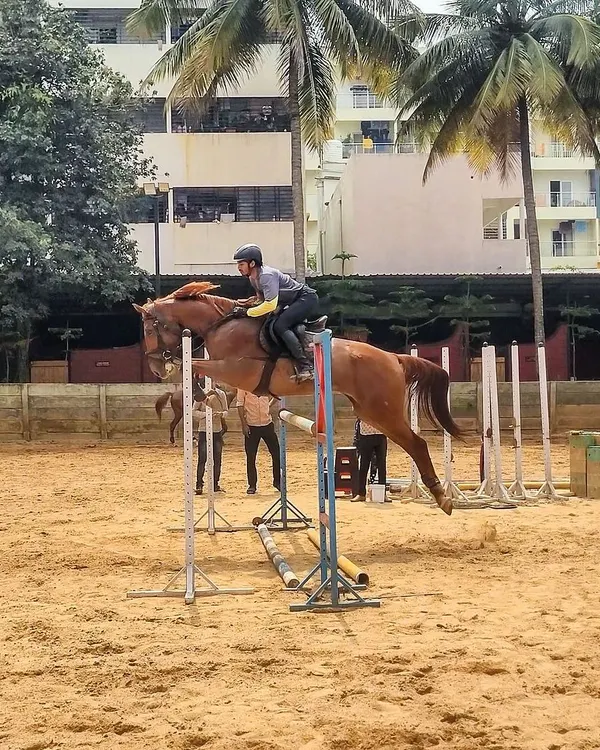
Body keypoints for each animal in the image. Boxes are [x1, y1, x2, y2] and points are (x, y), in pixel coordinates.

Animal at [134, 282, 461, 515]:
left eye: (150, 328)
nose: (154, 367)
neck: (221, 324)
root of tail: (394, 357)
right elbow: (194, 367)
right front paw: (198, 389)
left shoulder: (238, 370)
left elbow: (193, 365)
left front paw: (192, 382)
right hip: (370, 412)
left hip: (383, 412)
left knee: (416, 444)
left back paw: (443, 498)